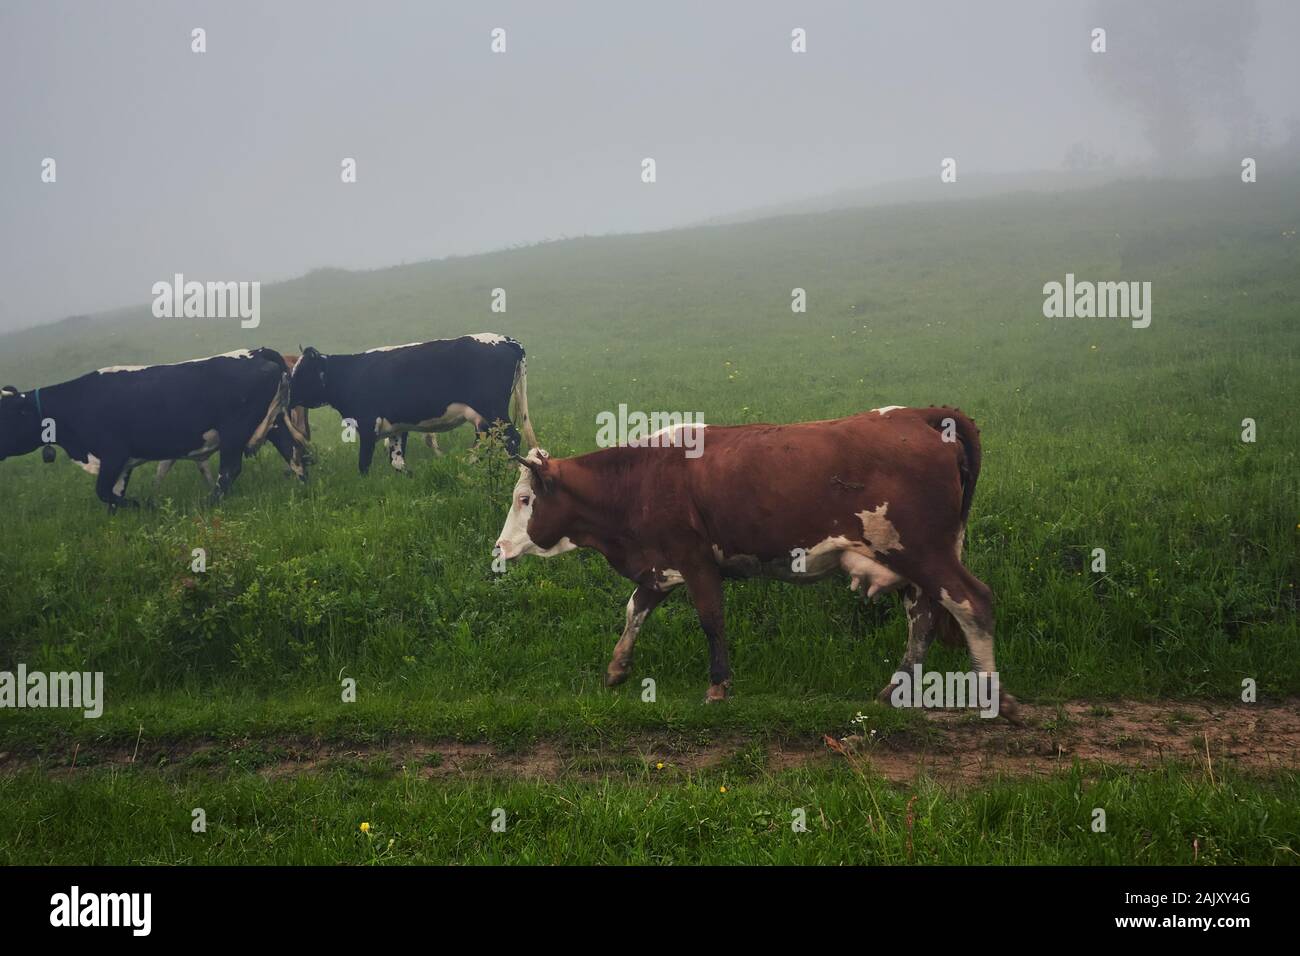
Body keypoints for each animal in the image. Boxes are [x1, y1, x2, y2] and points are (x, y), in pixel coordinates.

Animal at [0, 348, 296, 510]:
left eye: (7, 418)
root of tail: (257, 352)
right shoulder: (122, 463)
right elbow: (112, 497)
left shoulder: (114, 454)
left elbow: (104, 492)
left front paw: (144, 505)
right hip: (274, 425)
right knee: (293, 453)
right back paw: (302, 486)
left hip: (234, 431)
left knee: (229, 471)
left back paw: (208, 502)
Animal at [289, 333, 537, 473]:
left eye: (301, 373)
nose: (287, 396)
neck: (351, 374)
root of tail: (506, 340)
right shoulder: (396, 427)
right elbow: (397, 461)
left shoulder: (367, 423)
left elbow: (364, 462)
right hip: (485, 415)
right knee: (489, 438)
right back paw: (471, 462)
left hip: (492, 409)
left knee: (512, 437)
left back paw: (509, 468)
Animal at [493, 406, 1018, 719]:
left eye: (524, 499)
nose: (499, 548)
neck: (642, 476)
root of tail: (919, 415)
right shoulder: (661, 566)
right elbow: (634, 609)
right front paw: (618, 667)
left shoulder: (694, 559)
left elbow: (711, 619)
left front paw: (718, 686)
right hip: (909, 559)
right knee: (923, 616)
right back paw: (897, 688)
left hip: (923, 551)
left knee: (972, 603)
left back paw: (992, 694)